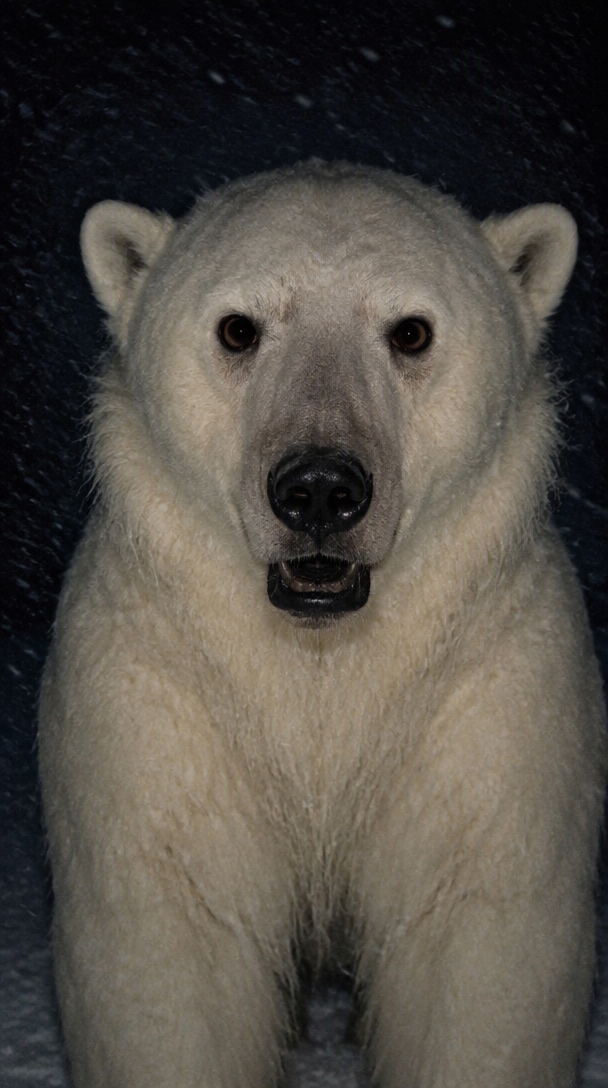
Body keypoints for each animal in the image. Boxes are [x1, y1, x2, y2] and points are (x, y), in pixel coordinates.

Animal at [39, 161, 606, 1088]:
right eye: (238, 328)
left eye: (411, 331)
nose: (318, 490)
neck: (322, 654)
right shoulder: (160, 695)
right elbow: (175, 943)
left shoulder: (482, 700)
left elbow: (478, 942)